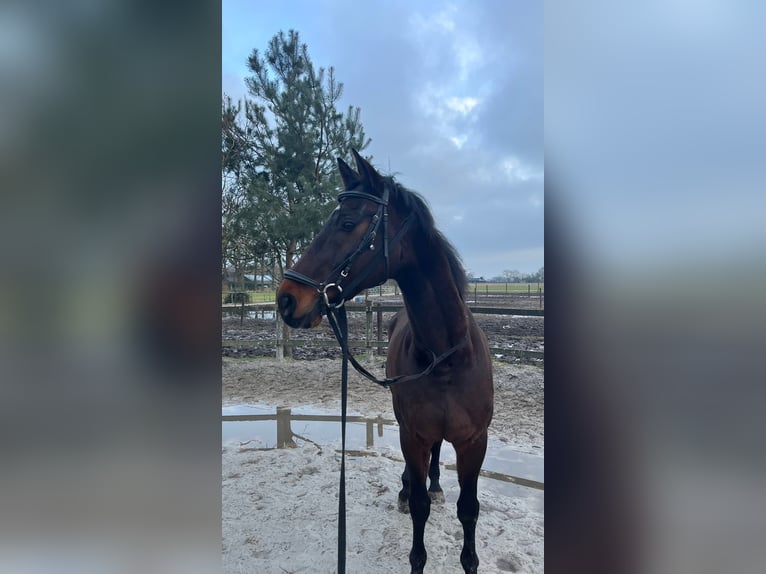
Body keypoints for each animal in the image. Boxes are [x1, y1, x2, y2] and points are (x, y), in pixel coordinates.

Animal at [276, 150, 494, 574]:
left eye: (346, 222)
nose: (286, 299)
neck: (445, 358)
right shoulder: (413, 433)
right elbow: (421, 510)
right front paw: (414, 524)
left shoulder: (475, 441)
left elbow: (469, 510)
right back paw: (409, 488)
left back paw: (434, 484)